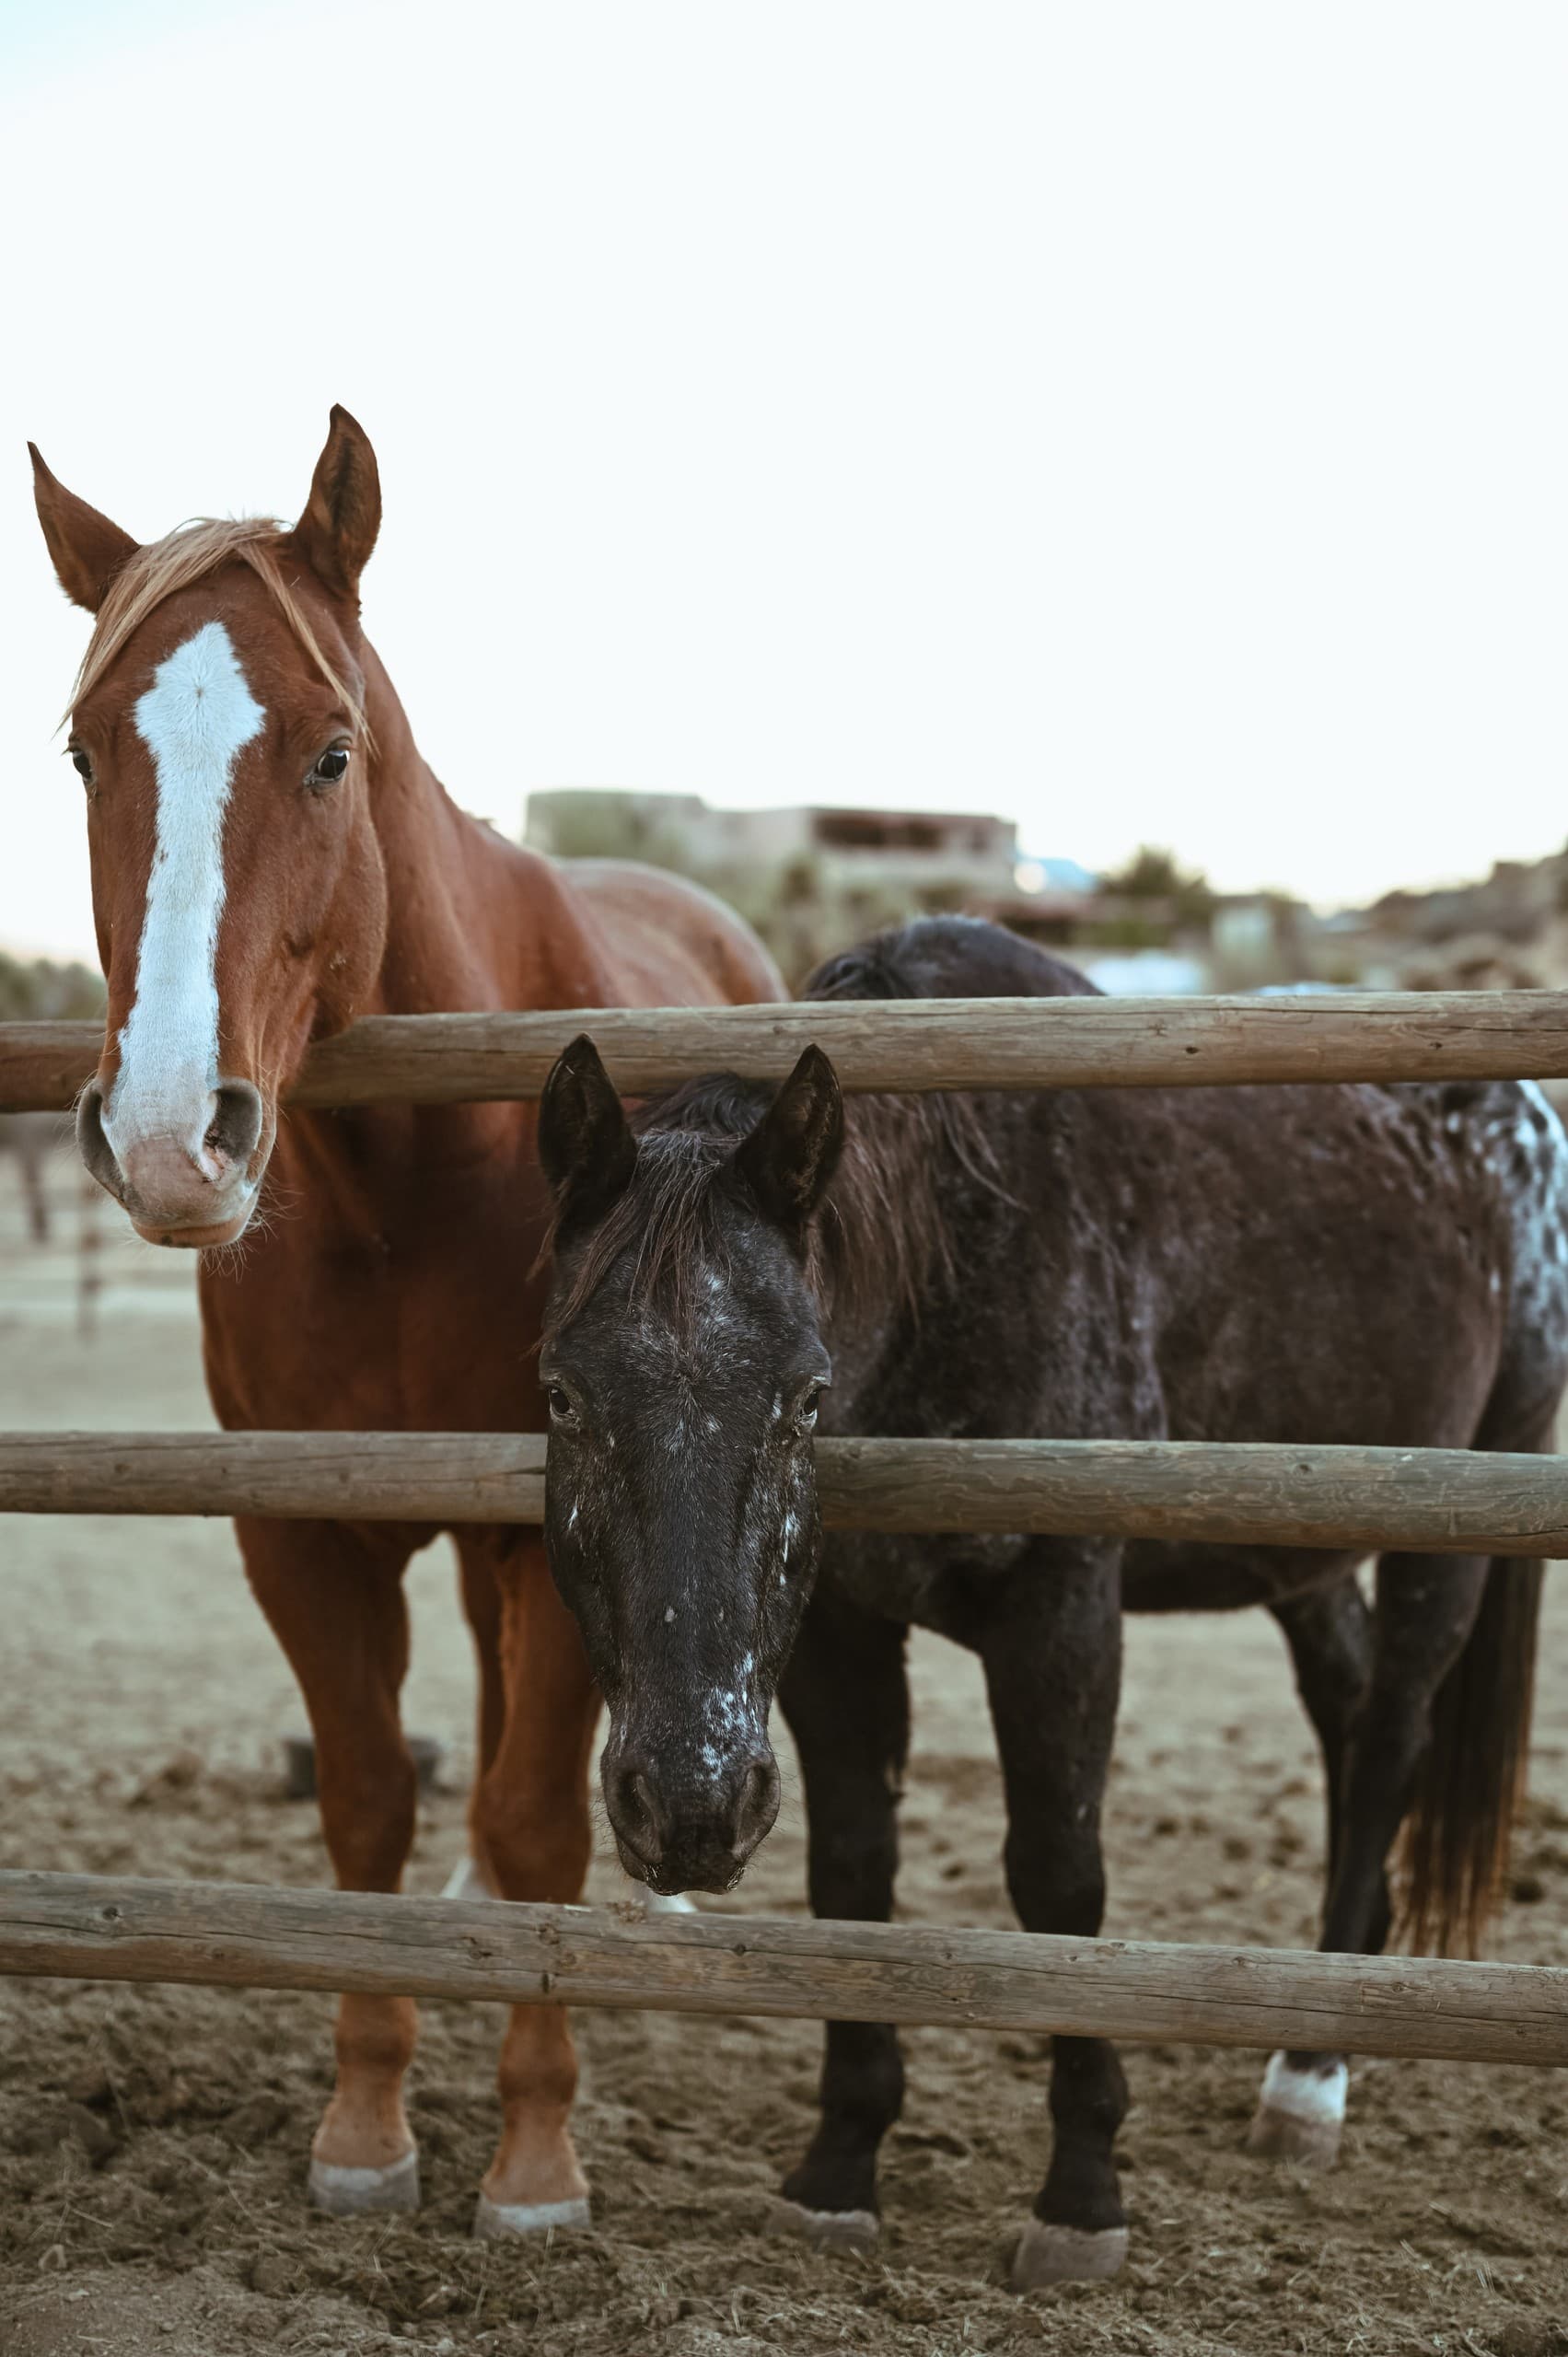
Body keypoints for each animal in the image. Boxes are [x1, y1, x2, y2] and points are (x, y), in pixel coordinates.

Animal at [29, 409, 785, 2238]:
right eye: (85, 754)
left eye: (328, 755)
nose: (172, 1134)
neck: (410, 1177)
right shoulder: (304, 1528)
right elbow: (370, 1803)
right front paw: (367, 2124)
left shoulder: (554, 1522)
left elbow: (533, 1815)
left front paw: (533, 2157)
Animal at [532, 913, 1568, 2288]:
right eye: (561, 1393)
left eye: (805, 1395)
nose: (688, 1803)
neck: (960, 1248)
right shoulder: (833, 1635)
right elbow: (853, 1869)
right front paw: (839, 2163)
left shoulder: (1060, 1611)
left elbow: (1058, 1878)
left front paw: (1080, 2192)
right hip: (1300, 1540)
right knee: (1346, 1715)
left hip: (1446, 1525)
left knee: (1390, 1734)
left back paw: (1308, 2076)